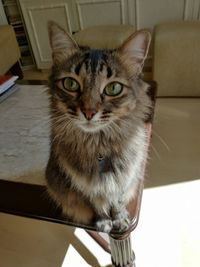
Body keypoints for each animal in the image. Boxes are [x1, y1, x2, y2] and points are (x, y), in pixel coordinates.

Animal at [45, 22, 152, 233]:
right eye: (70, 84)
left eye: (113, 88)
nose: (88, 112)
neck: (98, 145)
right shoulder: (85, 187)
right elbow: (98, 205)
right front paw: (103, 222)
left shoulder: (123, 181)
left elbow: (117, 203)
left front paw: (120, 219)